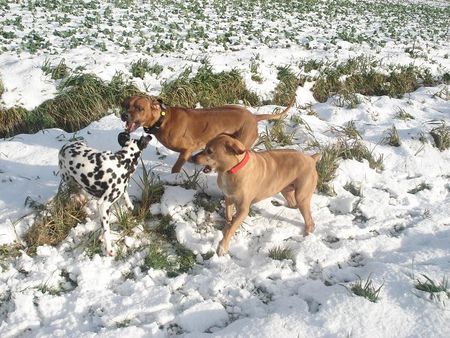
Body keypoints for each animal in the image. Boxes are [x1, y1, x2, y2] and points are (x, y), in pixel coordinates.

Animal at [120, 95, 296, 173]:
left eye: (140, 108)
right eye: (126, 105)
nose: (124, 115)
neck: (162, 120)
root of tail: (253, 116)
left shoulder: (188, 148)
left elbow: (177, 167)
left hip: (242, 142)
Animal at [191, 133, 320, 255]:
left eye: (210, 151)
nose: (192, 158)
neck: (233, 170)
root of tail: (311, 159)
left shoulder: (243, 210)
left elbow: (232, 227)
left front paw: (223, 246)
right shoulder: (228, 199)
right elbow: (228, 219)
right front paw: (224, 230)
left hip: (302, 197)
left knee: (310, 222)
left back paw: (305, 237)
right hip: (286, 190)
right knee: (294, 205)